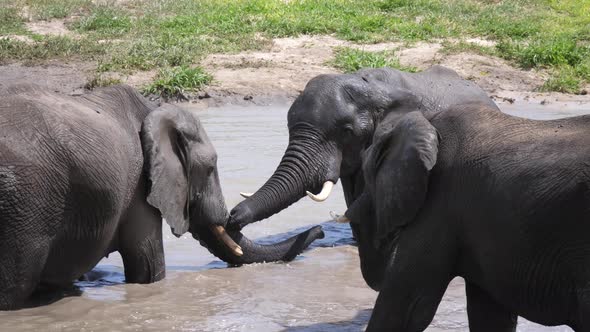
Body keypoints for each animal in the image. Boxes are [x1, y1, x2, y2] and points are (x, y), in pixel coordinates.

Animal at [0, 84, 324, 310]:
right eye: (210, 168)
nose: (319, 230)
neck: (155, 110)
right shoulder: (139, 186)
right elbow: (147, 268)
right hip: (25, 204)